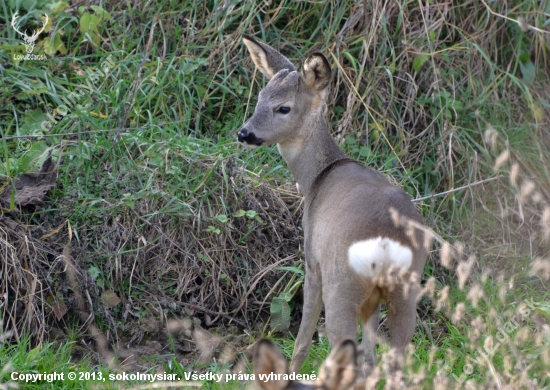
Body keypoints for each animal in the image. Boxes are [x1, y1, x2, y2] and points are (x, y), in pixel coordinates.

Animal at [238, 34, 432, 386]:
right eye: (260, 97)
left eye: (283, 107)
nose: (244, 133)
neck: (317, 176)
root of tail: (385, 243)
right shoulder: (373, 300)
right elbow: (371, 356)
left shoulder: (312, 263)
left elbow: (302, 340)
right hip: (405, 290)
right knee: (392, 361)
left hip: (340, 286)